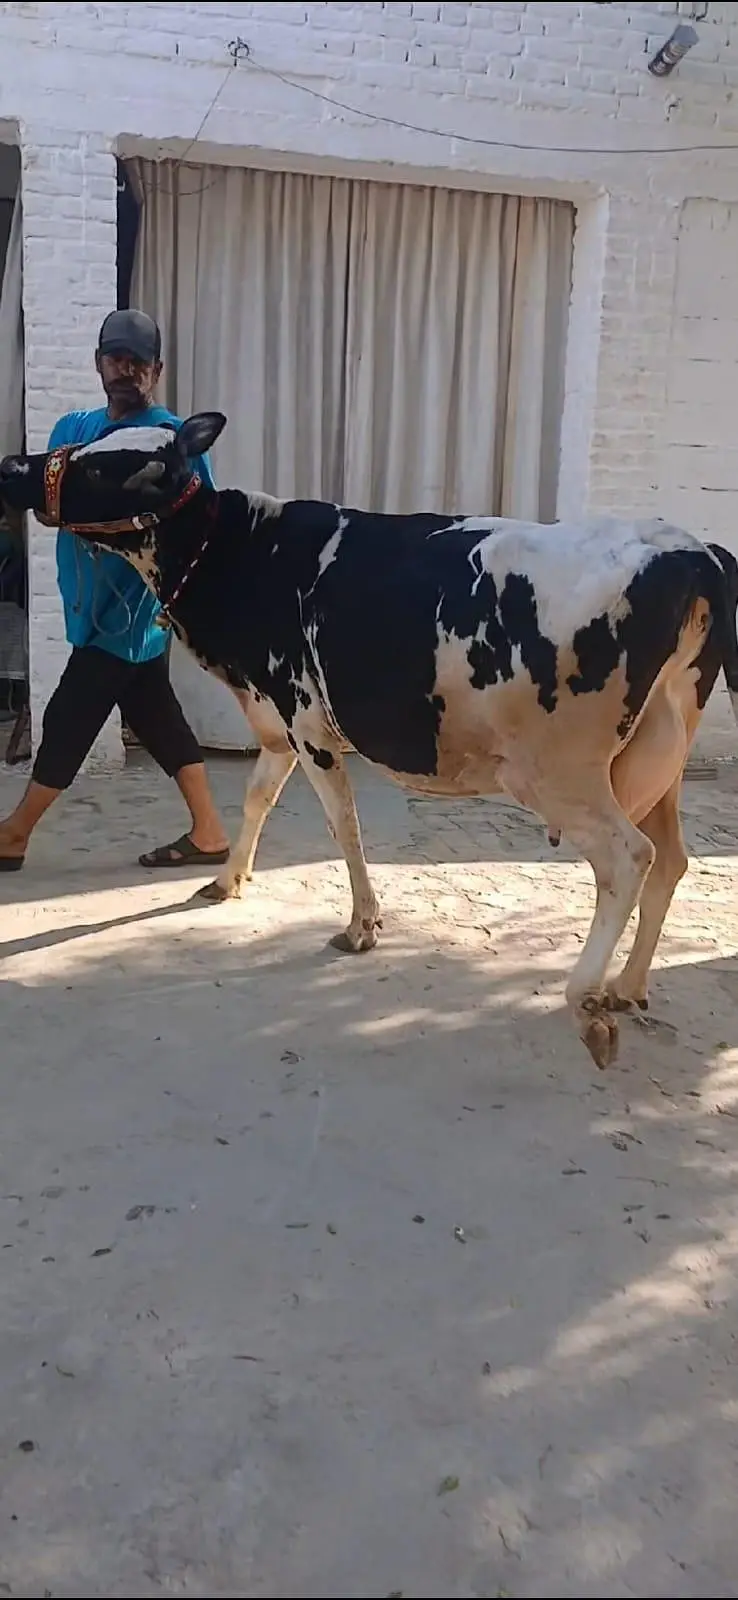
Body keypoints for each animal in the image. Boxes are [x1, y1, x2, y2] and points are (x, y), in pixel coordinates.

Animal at [2, 411, 737, 1070]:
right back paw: (628, 987)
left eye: (107, 465)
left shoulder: (307, 722)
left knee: (628, 858)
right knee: (672, 859)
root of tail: (692, 551)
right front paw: (228, 878)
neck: (240, 554)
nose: (15, 467)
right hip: (661, 757)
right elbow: (258, 798)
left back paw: (587, 1001)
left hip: (558, 771)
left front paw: (361, 926)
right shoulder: (277, 723)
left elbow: (343, 824)